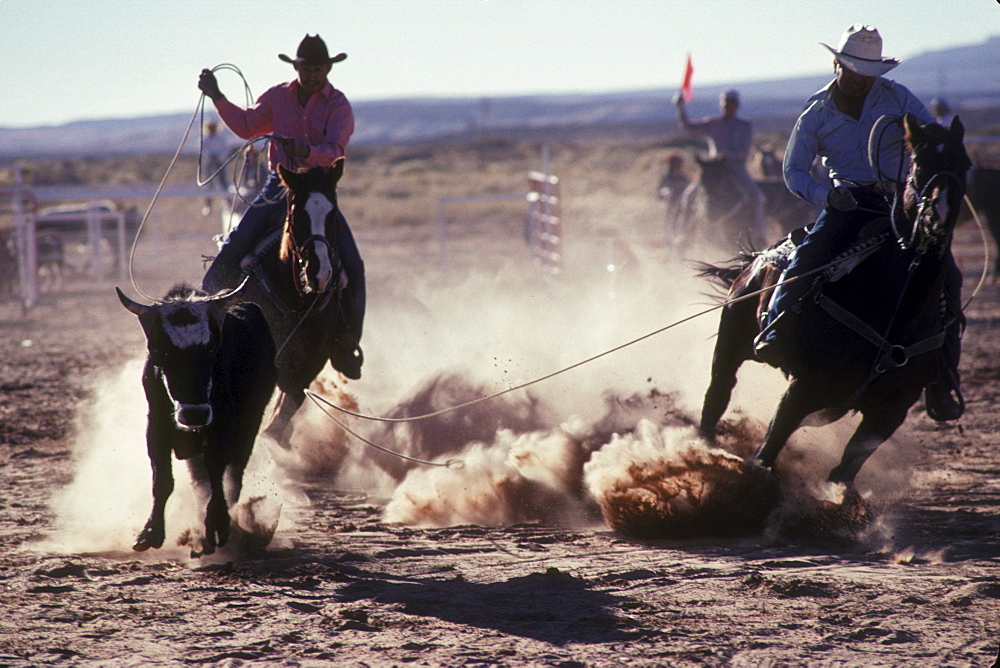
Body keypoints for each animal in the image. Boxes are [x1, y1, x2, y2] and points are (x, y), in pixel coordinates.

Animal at [234, 162, 348, 444]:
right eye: (297, 214)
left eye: (333, 214)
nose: (320, 272)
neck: (294, 301)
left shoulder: (303, 372)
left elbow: (276, 426)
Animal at [696, 115, 968, 488]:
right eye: (919, 164)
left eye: (964, 163)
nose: (939, 217)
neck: (895, 308)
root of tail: (758, 258)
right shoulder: (802, 389)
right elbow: (765, 454)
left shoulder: (890, 411)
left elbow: (843, 472)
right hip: (731, 342)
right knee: (717, 395)